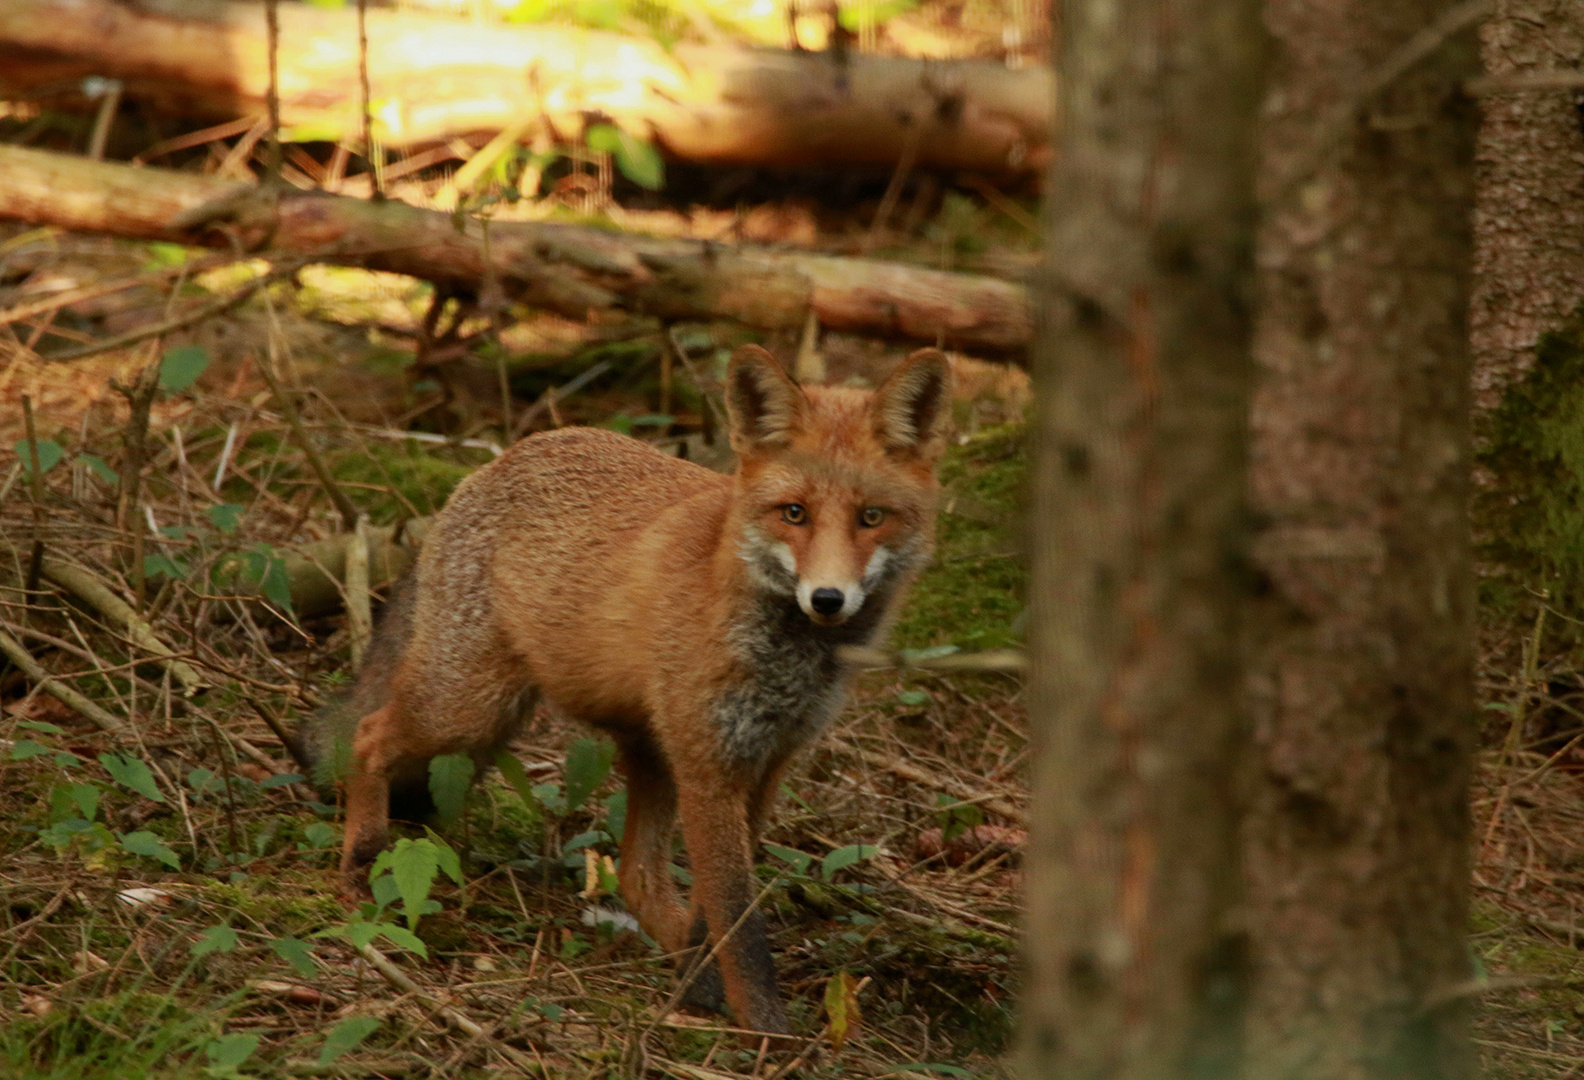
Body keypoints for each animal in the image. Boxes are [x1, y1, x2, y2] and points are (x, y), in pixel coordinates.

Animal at [310, 345, 950, 1032]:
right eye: (794, 513)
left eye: (871, 517)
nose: (827, 599)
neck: (788, 665)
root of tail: (500, 458)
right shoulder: (708, 764)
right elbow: (740, 926)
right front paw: (766, 1033)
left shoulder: (767, 762)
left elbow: (718, 913)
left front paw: (701, 991)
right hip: (467, 708)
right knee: (369, 734)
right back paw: (359, 863)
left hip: (632, 746)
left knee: (638, 877)